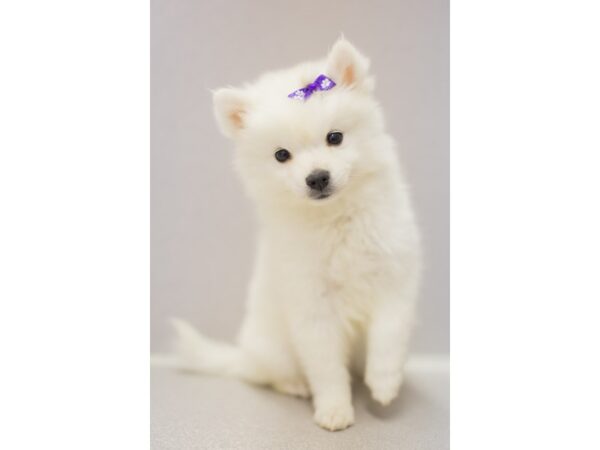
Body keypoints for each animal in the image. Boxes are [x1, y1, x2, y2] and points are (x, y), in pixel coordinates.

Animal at [162, 38, 420, 432]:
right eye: (281, 155)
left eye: (335, 137)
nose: (317, 177)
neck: (336, 219)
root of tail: (244, 354)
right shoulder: (312, 305)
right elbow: (327, 368)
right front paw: (334, 410)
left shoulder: (394, 277)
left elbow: (389, 336)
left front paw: (385, 384)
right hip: (275, 350)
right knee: (270, 375)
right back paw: (296, 385)